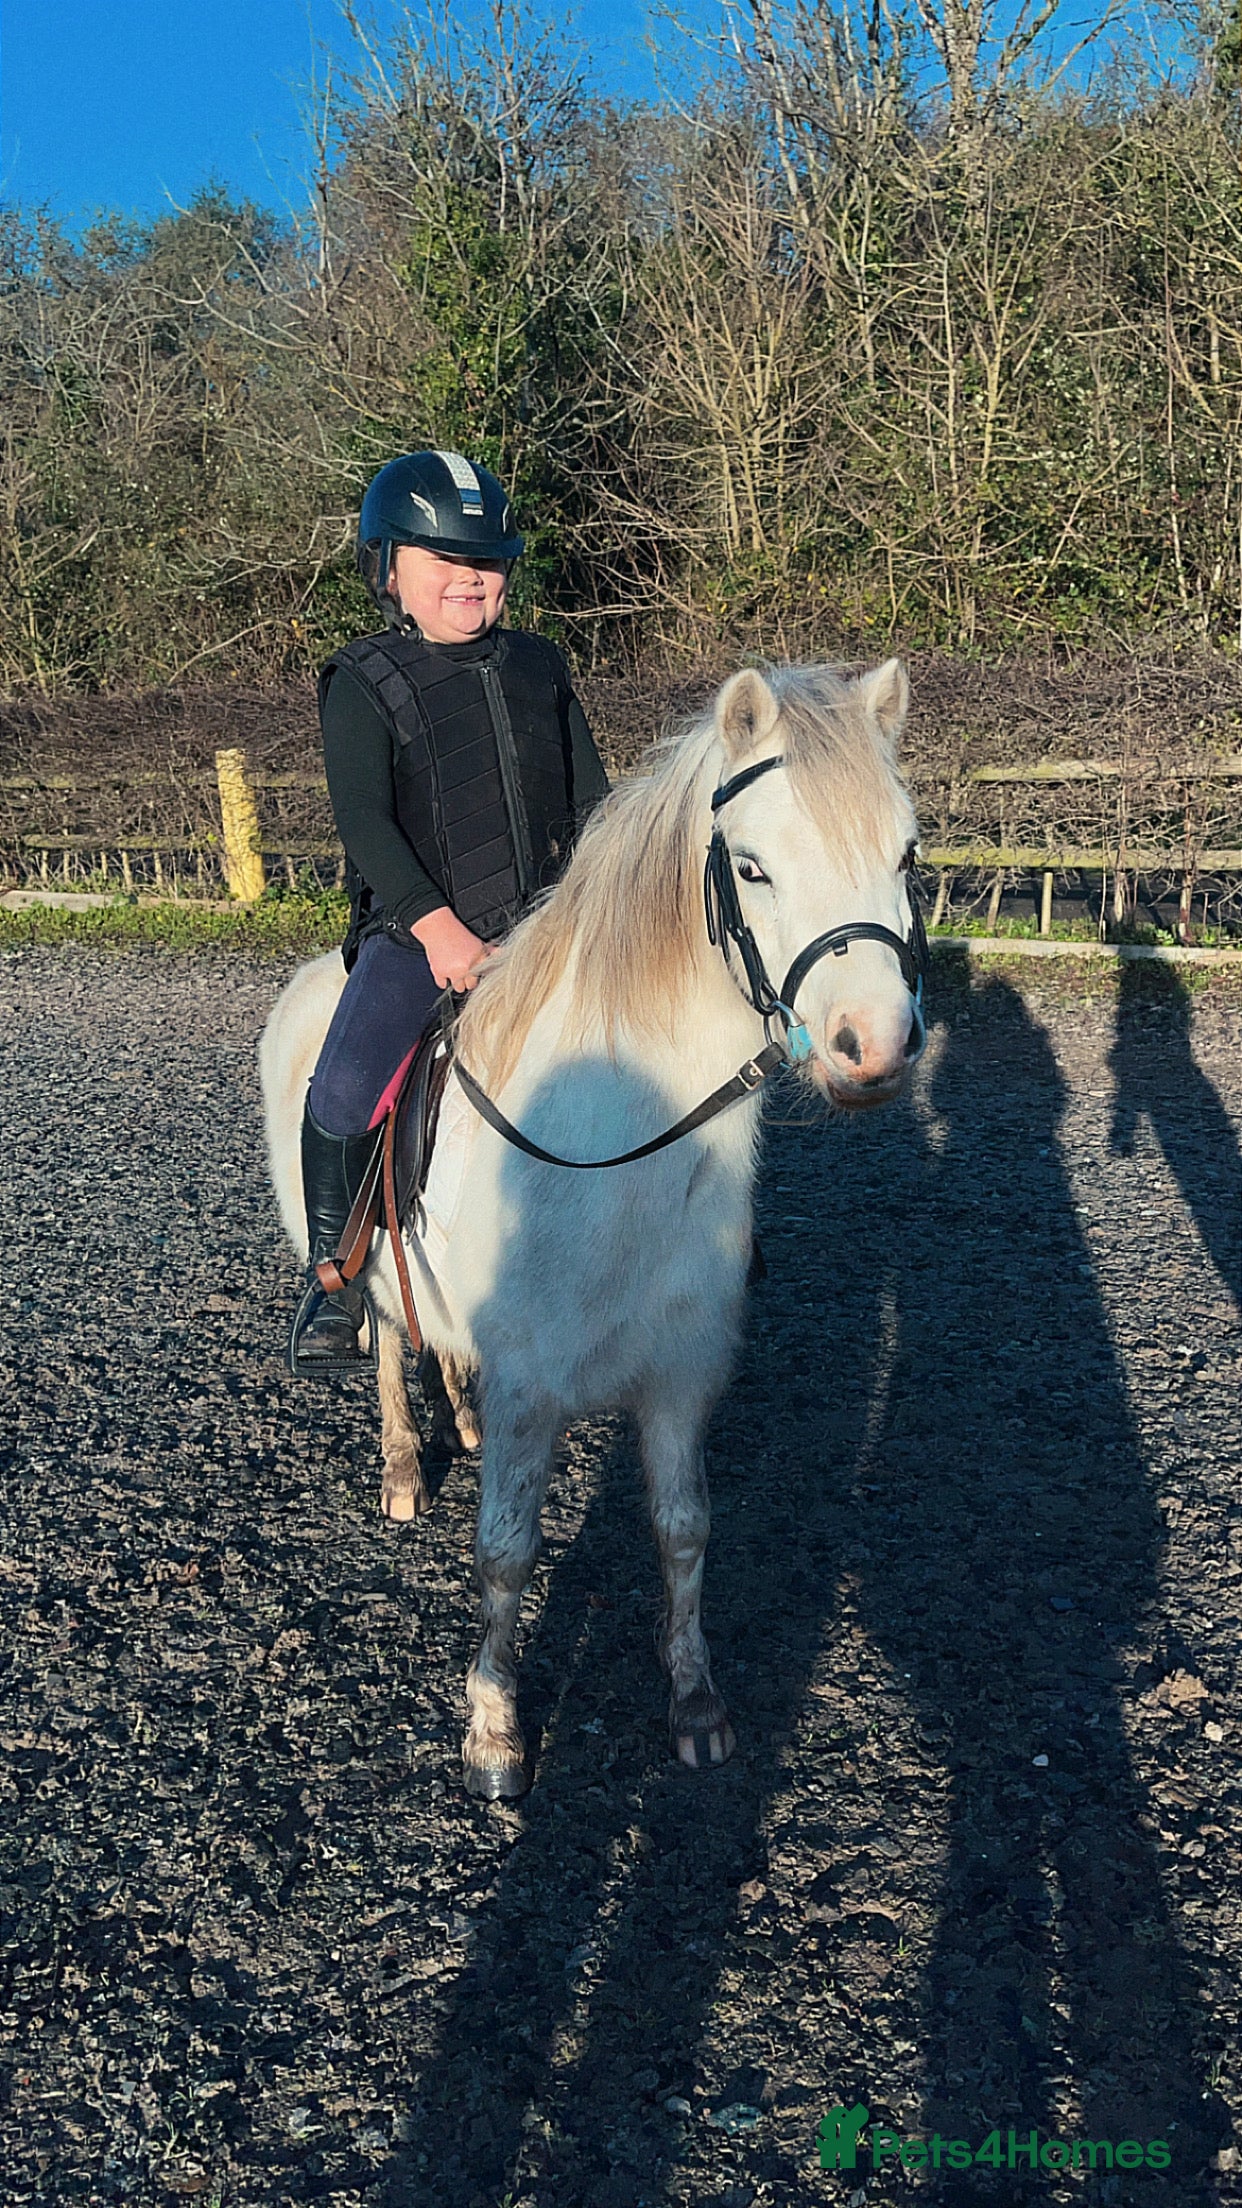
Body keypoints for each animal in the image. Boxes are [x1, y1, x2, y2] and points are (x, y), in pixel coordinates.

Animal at [259, 659, 926, 1799]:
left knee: (441, 1345)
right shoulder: (536, 1387)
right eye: (751, 868)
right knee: (385, 1341)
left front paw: (696, 1704)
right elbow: (506, 1553)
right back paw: (403, 1467)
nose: (872, 1046)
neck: (619, 1142)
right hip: (362, 1275)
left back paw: (457, 1420)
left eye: (907, 854)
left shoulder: (677, 1377)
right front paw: (492, 1732)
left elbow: (685, 1534)